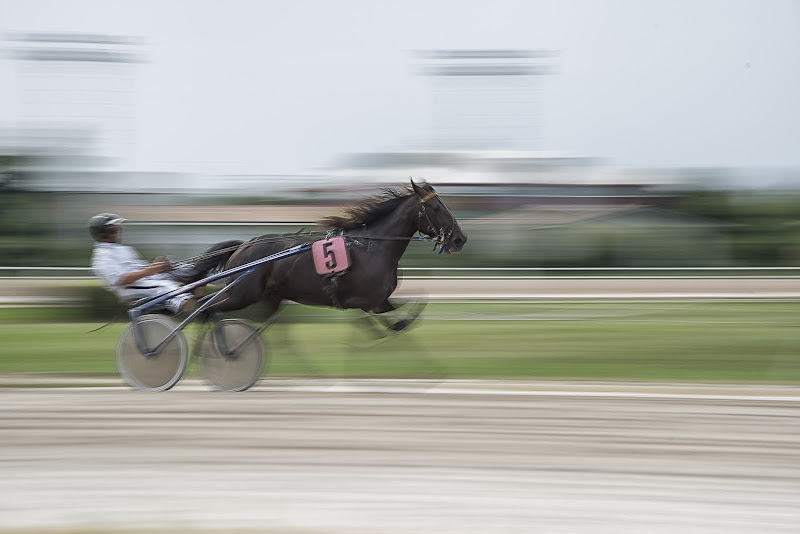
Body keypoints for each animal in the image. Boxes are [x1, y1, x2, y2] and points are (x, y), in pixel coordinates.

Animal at [189, 182, 462, 328]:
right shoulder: (367, 301)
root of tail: (243, 246)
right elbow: (396, 323)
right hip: (242, 294)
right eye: (436, 207)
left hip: (266, 297)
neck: (374, 246)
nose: (460, 239)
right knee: (207, 309)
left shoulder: (378, 301)